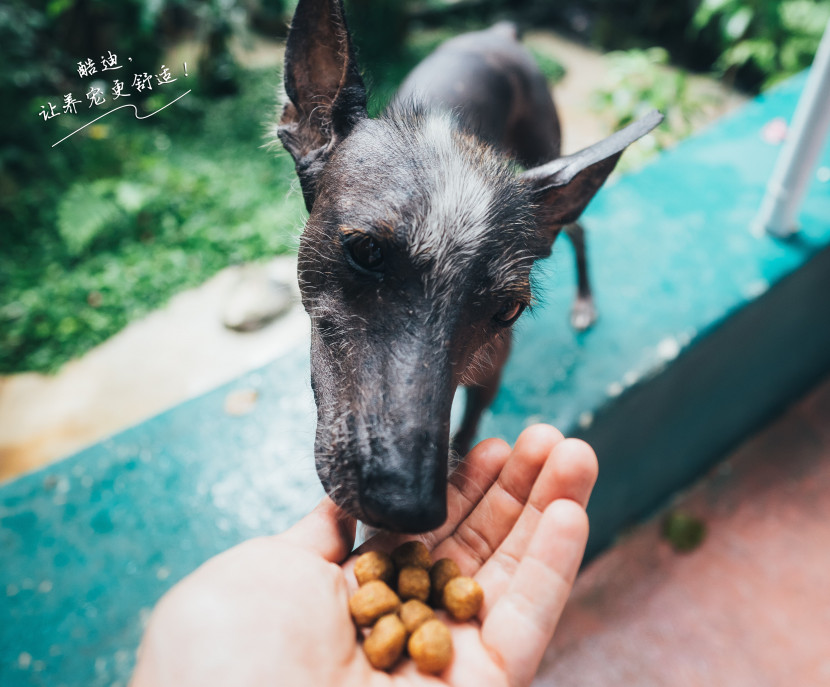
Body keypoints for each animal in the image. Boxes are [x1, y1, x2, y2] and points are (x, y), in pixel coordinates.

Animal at [276, 0, 668, 532]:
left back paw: (585, 301)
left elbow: (467, 431)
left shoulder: (490, 376)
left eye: (507, 310)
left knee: (578, 231)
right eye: (366, 251)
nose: (408, 506)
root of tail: (500, 34)